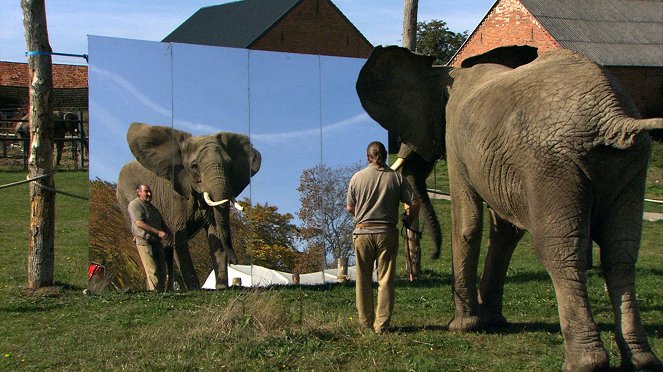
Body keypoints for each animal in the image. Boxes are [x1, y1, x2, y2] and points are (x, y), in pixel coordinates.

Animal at [116, 123, 262, 290]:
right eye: (194, 166)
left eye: (230, 166)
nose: (235, 261)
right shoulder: (175, 197)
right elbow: (179, 237)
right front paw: (195, 289)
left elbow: (215, 234)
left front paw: (221, 288)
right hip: (126, 199)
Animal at [358, 46, 663, 372]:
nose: (431, 253)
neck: (444, 73)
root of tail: (613, 118)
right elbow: (506, 230)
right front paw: (492, 322)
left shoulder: (457, 143)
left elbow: (467, 222)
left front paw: (462, 326)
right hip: (631, 163)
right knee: (621, 253)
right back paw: (641, 360)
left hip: (552, 165)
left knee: (561, 250)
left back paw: (584, 363)